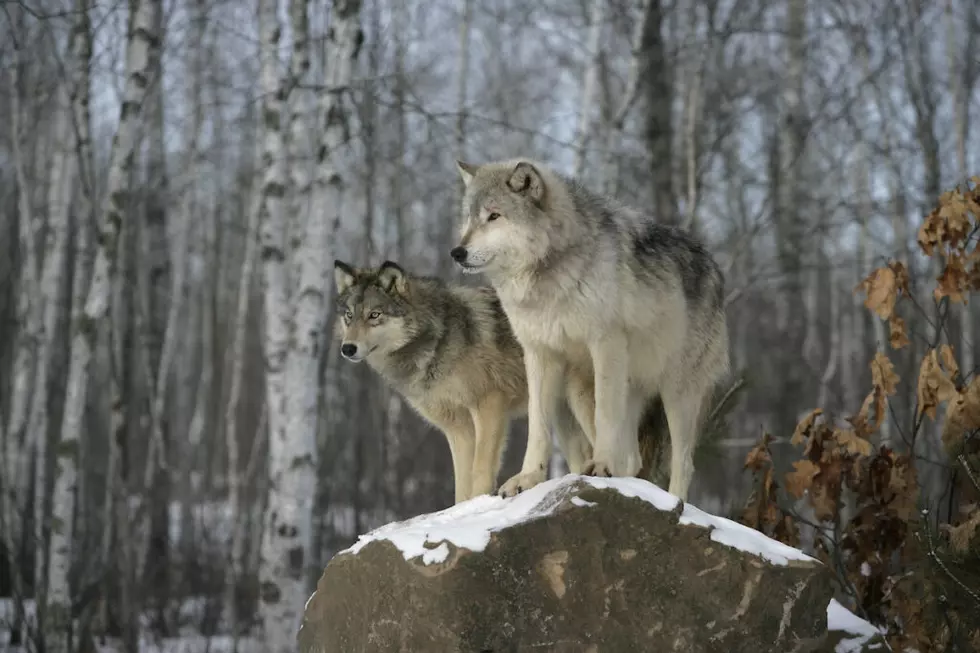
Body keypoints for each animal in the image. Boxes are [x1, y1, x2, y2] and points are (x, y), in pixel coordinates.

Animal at [334, 258, 588, 502]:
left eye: (374, 315)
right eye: (349, 316)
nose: (348, 348)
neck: (439, 340)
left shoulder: (489, 404)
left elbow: (480, 469)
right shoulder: (458, 427)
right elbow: (462, 484)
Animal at [450, 158, 728, 500]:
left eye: (494, 216)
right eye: (469, 218)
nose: (457, 252)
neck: (548, 276)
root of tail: (715, 266)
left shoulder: (605, 343)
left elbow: (605, 414)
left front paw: (602, 465)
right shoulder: (539, 354)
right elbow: (537, 425)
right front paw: (527, 478)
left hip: (676, 390)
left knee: (683, 463)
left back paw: (672, 500)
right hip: (585, 388)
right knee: (634, 457)